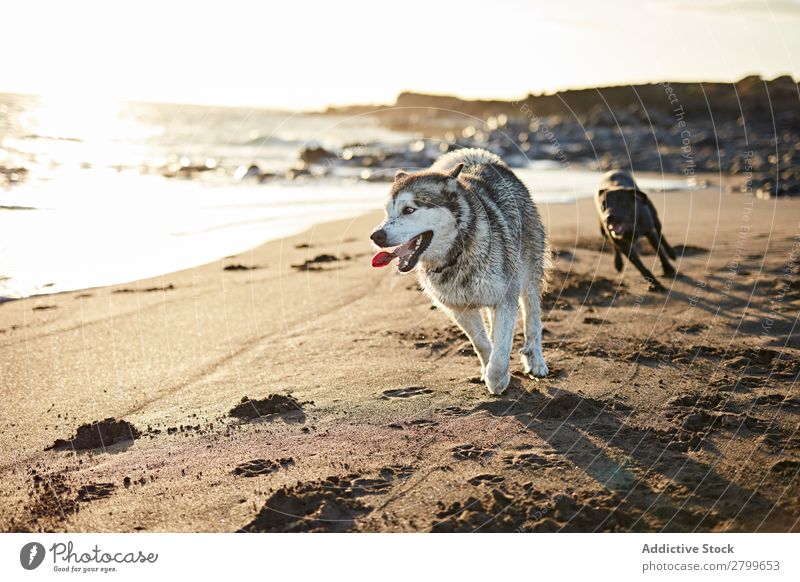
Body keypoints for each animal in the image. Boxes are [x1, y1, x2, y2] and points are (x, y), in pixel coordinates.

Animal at [370, 148, 552, 400]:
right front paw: (488, 369)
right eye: (387, 212)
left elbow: (501, 347)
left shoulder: (506, 297)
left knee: (532, 317)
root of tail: (483, 160)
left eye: (408, 210)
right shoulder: (458, 308)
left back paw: (536, 362)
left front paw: (497, 378)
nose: (376, 236)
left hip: (529, 272)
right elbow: (482, 344)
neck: (457, 254)